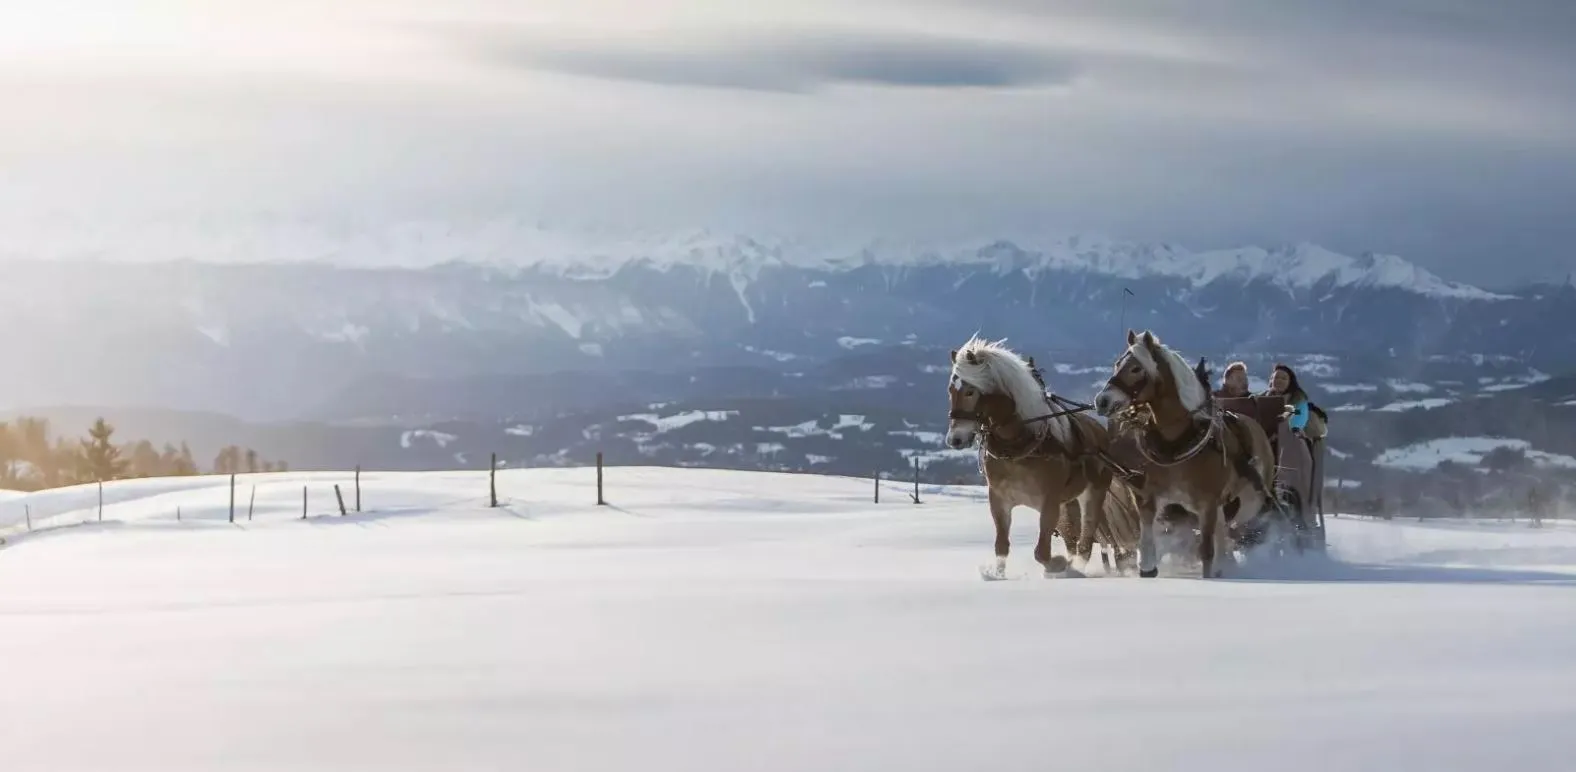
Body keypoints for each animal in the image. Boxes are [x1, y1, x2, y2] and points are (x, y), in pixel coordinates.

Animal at [945, 335, 1141, 580]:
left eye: (970, 392)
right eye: (951, 390)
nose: (955, 439)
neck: (1018, 445)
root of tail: (1099, 432)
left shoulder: (1049, 501)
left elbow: (1041, 551)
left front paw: (1057, 565)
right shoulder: (998, 499)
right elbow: (1001, 545)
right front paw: (997, 574)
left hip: (1093, 493)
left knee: (1086, 539)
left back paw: (1076, 567)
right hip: (1068, 504)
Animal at [1093, 329, 1283, 579]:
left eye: (1135, 368)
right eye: (1117, 364)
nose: (1102, 401)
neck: (1179, 441)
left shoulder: (1207, 504)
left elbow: (1206, 551)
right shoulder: (1148, 497)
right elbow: (1147, 540)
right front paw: (1147, 568)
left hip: (1250, 502)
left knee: (1237, 530)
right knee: (1223, 535)